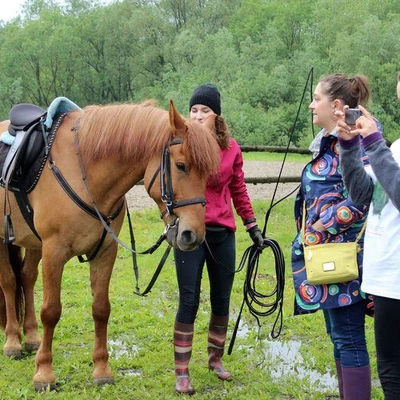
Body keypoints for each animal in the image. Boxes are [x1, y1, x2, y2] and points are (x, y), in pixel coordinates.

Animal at [0, 100, 220, 390]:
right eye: (181, 165)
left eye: (207, 173)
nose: (192, 234)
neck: (86, 174)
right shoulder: (54, 251)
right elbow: (51, 310)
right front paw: (44, 373)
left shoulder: (105, 252)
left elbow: (101, 309)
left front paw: (102, 370)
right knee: (9, 283)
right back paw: (13, 341)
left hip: (33, 243)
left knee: (26, 278)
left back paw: (32, 338)